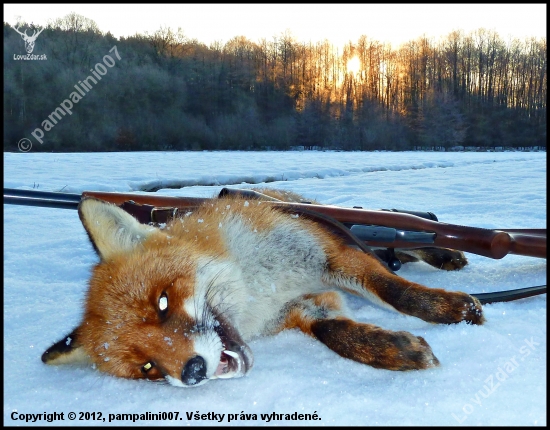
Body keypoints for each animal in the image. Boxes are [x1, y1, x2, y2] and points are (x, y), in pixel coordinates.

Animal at [42, 191, 484, 386]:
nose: (192, 372)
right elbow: (339, 334)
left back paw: (442, 251)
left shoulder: (329, 254)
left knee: (391, 241)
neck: (257, 286)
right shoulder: (305, 306)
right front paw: (396, 351)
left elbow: (393, 291)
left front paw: (451, 309)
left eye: (163, 302)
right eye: (148, 368)